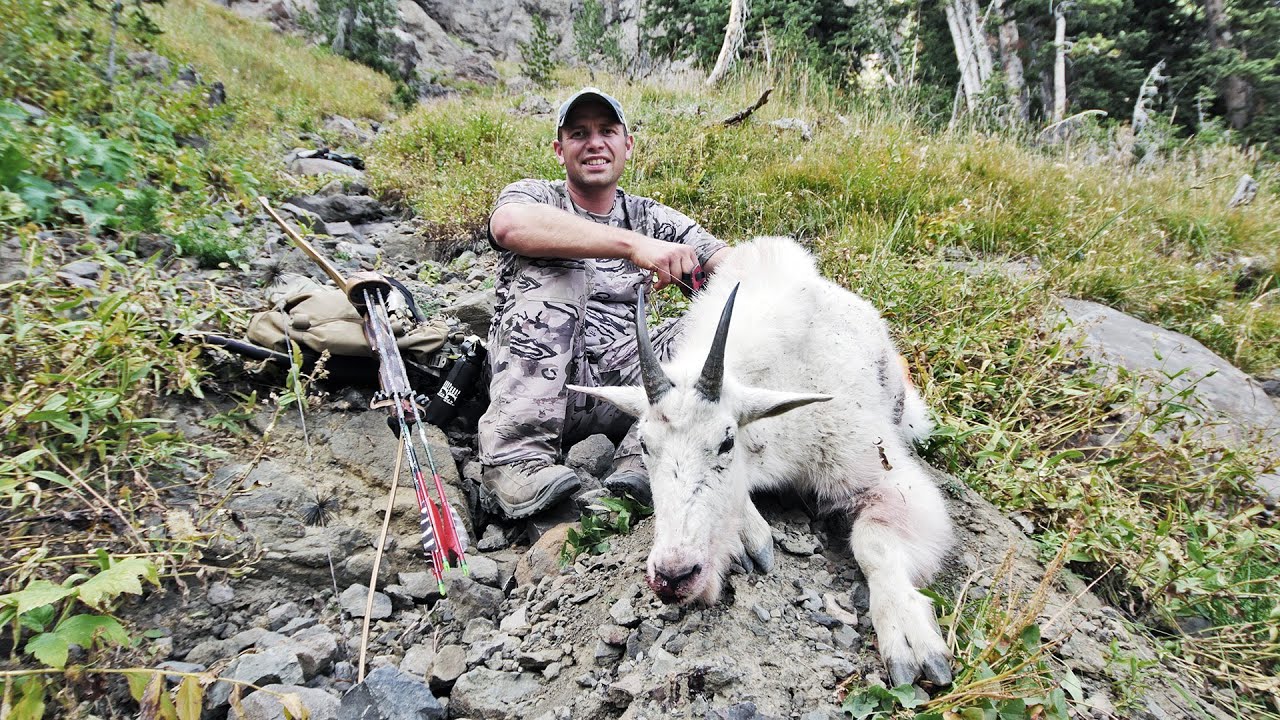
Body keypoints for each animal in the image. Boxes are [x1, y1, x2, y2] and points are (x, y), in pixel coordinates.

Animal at [572, 237, 954, 686]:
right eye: (645, 445)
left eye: (726, 442)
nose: (672, 577)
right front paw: (748, 539)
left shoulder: (877, 470)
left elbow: (876, 543)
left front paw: (910, 642)